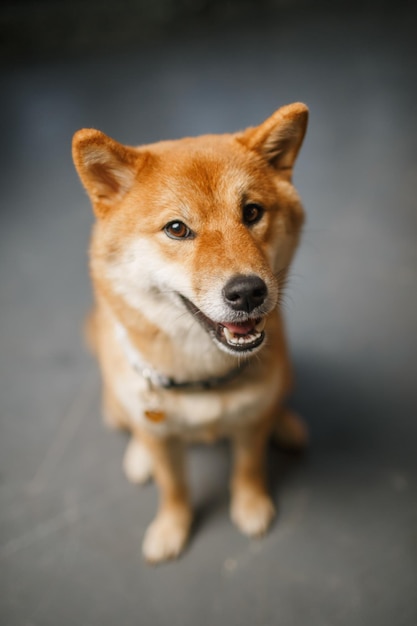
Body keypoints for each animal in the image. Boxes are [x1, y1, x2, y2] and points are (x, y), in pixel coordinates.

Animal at [72, 102, 308, 560]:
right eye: (177, 228)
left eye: (252, 212)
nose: (248, 291)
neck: (203, 378)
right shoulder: (162, 439)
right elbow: (174, 488)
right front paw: (171, 528)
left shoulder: (251, 423)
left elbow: (249, 467)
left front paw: (251, 506)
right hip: (118, 408)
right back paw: (139, 456)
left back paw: (286, 424)